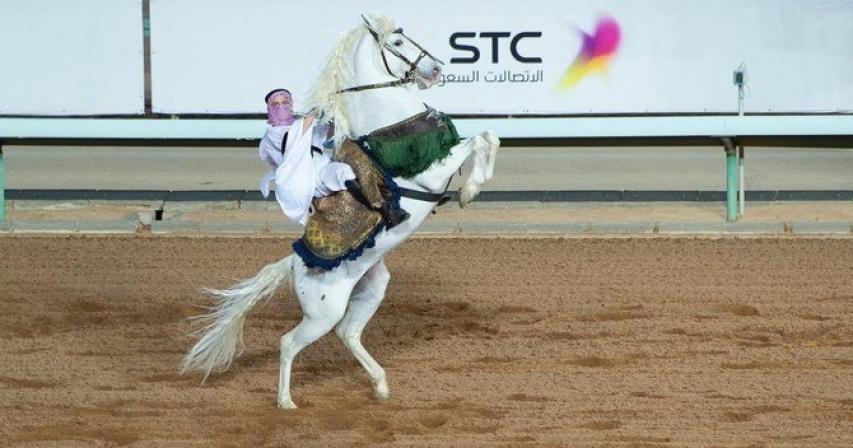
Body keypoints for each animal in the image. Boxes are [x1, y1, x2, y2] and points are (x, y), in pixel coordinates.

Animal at [181, 14, 500, 408]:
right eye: (397, 41)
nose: (436, 68)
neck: (390, 124)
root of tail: (293, 264)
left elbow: (489, 137)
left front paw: (472, 187)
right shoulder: (434, 170)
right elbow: (482, 140)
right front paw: (470, 190)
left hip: (370, 289)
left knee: (348, 334)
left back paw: (380, 386)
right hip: (323, 313)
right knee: (289, 343)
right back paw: (286, 402)